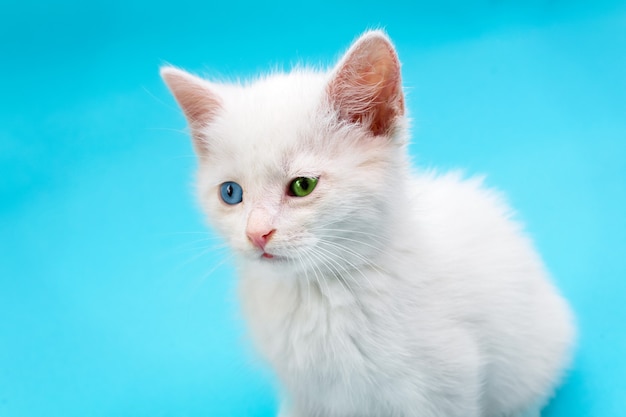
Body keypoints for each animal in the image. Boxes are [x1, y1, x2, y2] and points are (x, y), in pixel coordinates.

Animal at [162, 30, 576, 416]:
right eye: (231, 193)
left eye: (302, 185)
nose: (256, 233)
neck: (319, 294)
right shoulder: (304, 392)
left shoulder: (446, 381)